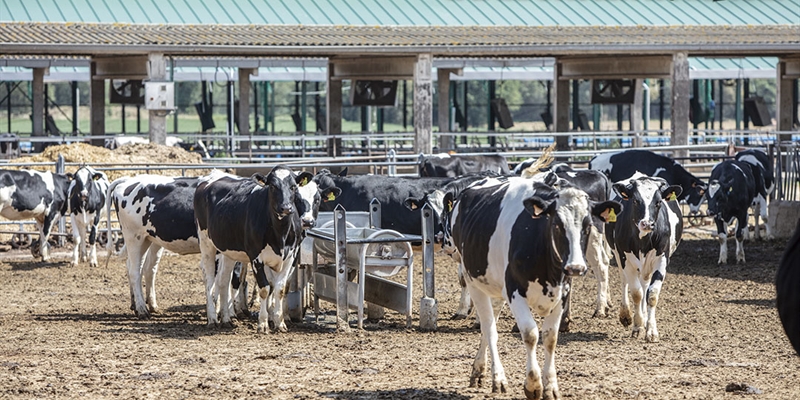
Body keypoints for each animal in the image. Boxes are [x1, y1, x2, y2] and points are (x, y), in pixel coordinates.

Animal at [195, 166, 314, 332]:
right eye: (272, 186)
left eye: (293, 187)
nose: (285, 208)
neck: (280, 234)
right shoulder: (256, 257)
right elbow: (264, 288)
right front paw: (263, 324)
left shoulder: (290, 257)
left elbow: (279, 289)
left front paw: (280, 323)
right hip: (206, 244)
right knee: (210, 280)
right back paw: (212, 319)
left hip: (228, 250)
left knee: (224, 281)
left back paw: (226, 319)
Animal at [446, 174, 620, 396]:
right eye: (556, 224)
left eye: (588, 225)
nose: (576, 267)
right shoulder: (514, 291)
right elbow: (530, 334)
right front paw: (533, 384)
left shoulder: (562, 293)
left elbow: (550, 337)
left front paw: (551, 386)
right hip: (473, 282)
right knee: (489, 327)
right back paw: (498, 378)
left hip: (495, 286)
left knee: (489, 325)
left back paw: (479, 370)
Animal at [608, 173, 680, 342]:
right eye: (635, 200)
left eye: (658, 202)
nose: (647, 224)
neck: (643, 240)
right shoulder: (625, 259)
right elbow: (636, 293)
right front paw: (637, 326)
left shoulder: (662, 259)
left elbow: (651, 294)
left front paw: (651, 330)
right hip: (618, 256)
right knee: (625, 281)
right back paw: (627, 315)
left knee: (645, 284)